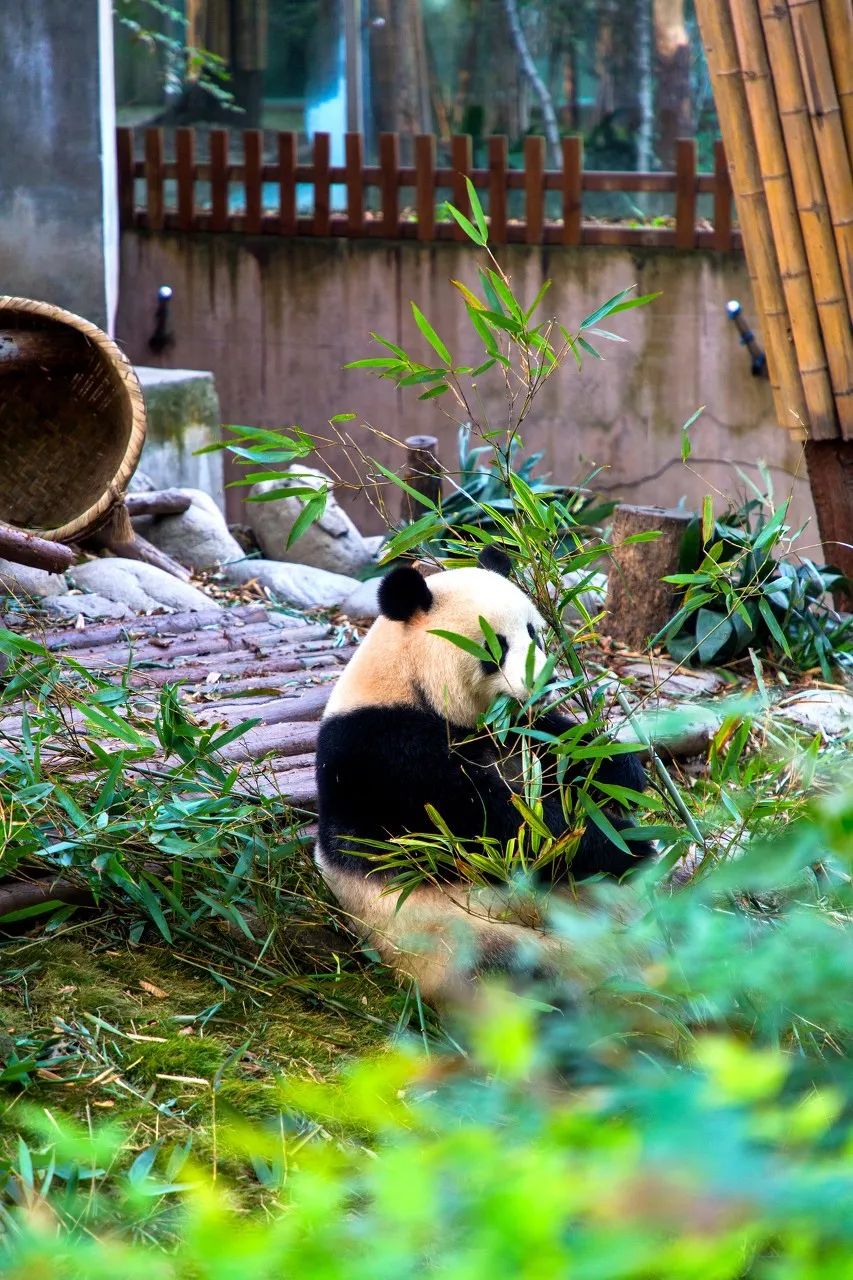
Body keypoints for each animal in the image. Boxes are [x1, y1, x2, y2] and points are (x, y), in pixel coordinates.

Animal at [312, 545, 650, 1003]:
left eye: (534, 632)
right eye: (496, 646)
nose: (542, 681)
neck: (404, 679)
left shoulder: (516, 731)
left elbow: (561, 747)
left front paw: (620, 773)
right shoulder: (384, 754)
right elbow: (493, 824)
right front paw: (628, 845)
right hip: (462, 941)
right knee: (526, 980)